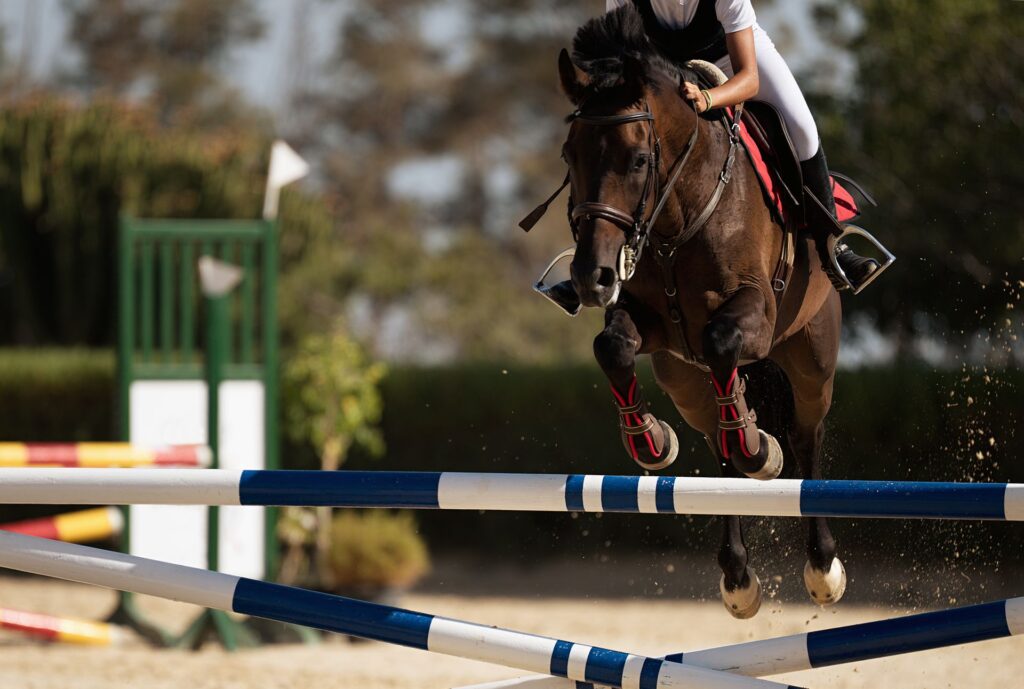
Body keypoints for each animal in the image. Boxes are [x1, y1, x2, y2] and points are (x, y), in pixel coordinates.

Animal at [522, 8, 846, 618]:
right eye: (569, 157)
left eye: (638, 160)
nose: (593, 277)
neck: (678, 213)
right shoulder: (647, 321)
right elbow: (611, 346)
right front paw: (649, 441)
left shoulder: (757, 312)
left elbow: (720, 339)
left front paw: (756, 447)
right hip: (683, 381)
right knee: (718, 445)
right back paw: (737, 575)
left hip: (810, 358)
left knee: (805, 436)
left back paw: (820, 563)